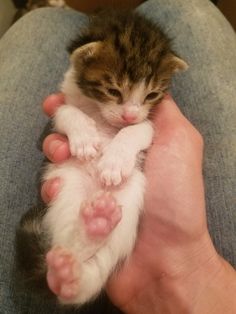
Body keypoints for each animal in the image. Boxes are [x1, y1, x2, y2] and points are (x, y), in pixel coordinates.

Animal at [15, 8, 187, 306]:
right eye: (113, 91)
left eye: (152, 94)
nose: (129, 114)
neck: (99, 111)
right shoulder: (60, 105)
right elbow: (65, 112)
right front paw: (84, 138)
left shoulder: (148, 122)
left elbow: (140, 128)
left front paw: (114, 161)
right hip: (67, 194)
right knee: (69, 252)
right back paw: (72, 259)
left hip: (128, 209)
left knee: (85, 277)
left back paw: (94, 230)